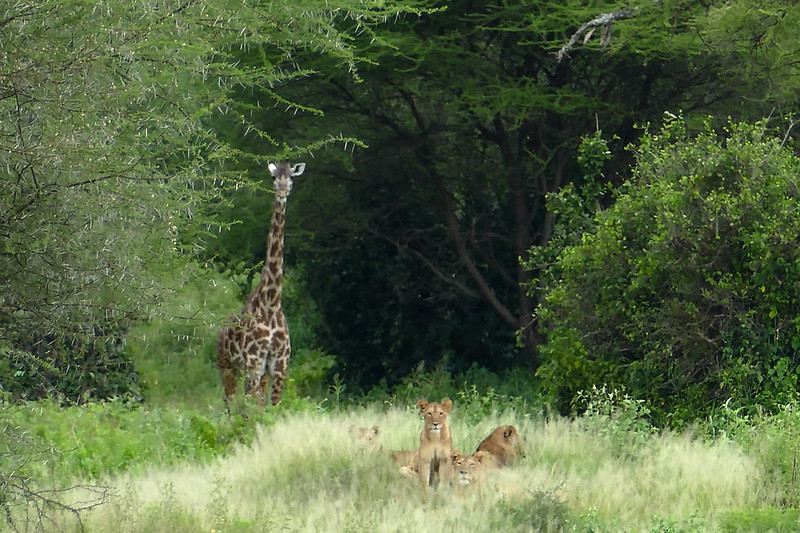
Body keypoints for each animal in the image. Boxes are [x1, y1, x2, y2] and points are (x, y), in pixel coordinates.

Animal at [216, 160, 306, 410]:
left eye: (291, 177)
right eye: (274, 178)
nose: (283, 192)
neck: (271, 305)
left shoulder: (279, 365)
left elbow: (271, 408)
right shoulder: (254, 363)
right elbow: (253, 409)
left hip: (254, 372)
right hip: (227, 366)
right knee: (230, 403)